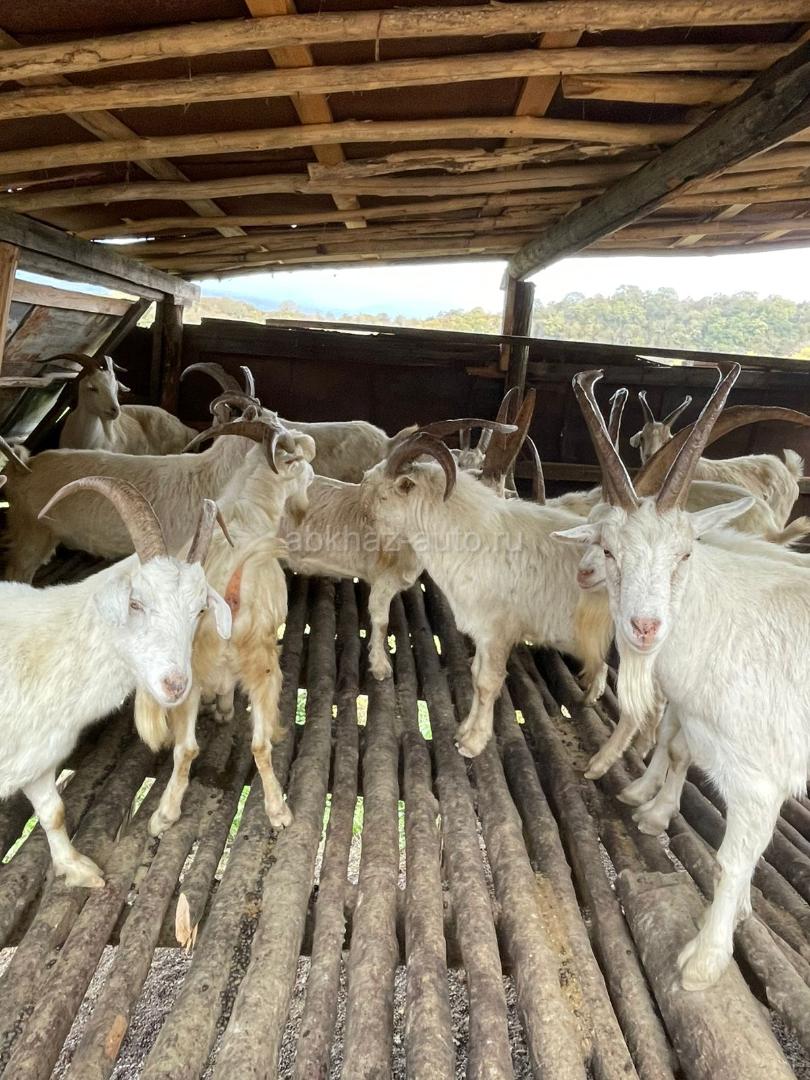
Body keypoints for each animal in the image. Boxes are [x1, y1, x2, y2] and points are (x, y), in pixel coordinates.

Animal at [0, 477, 231, 887]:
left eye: (200, 609)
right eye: (135, 603)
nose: (176, 685)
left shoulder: (37, 757)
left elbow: (53, 812)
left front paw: (77, 869)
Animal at [131, 414, 316, 835]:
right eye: (300, 465)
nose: (306, 503)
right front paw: (226, 710)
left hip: (186, 673)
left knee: (186, 748)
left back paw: (164, 816)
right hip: (264, 665)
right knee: (259, 745)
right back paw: (278, 811)